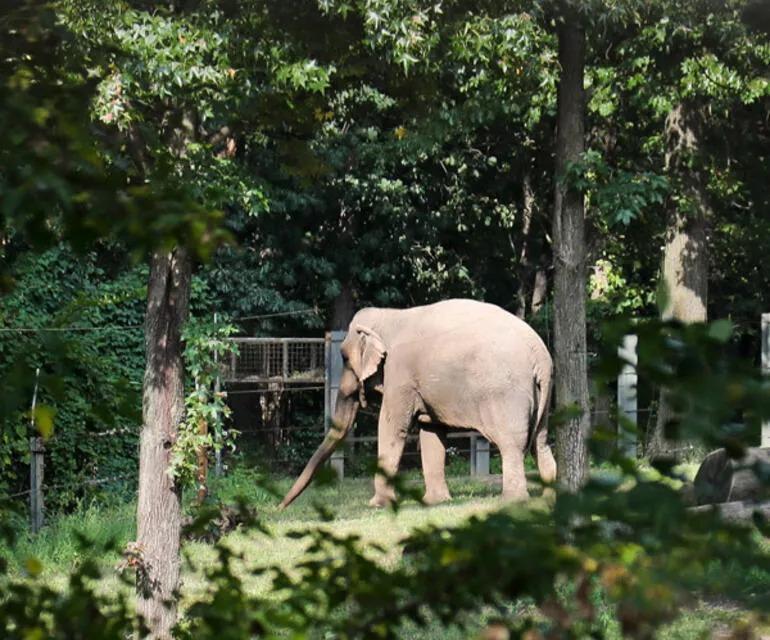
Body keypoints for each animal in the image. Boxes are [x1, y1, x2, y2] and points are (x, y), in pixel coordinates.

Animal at [280, 298, 556, 508]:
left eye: (344, 358)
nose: (281, 507)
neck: (389, 316)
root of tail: (540, 356)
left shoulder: (399, 375)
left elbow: (391, 427)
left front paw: (377, 505)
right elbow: (431, 433)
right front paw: (436, 502)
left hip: (505, 394)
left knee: (512, 444)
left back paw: (512, 501)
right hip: (540, 394)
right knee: (540, 442)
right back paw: (549, 497)